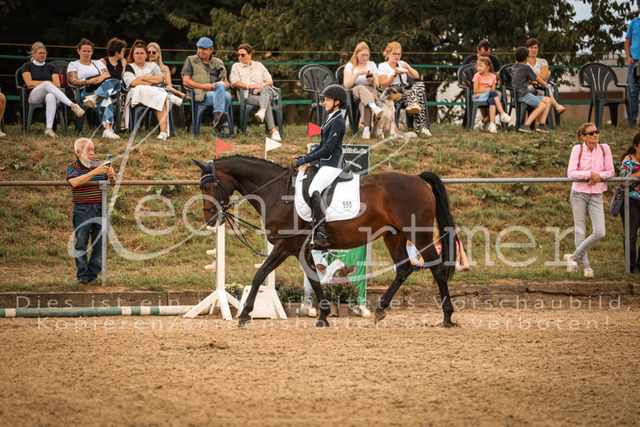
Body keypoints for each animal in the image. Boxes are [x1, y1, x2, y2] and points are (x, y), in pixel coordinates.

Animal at [193, 155, 458, 328]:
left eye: (208, 186)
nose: (210, 219)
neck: (276, 191)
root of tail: (417, 180)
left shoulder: (285, 245)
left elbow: (260, 275)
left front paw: (245, 314)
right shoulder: (301, 249)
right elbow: (314, 279)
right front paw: (323, 315)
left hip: (419, 234)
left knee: (437, 270)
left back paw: (447, 317)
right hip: (394, 236)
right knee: (403, 269)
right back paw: (380, 310)